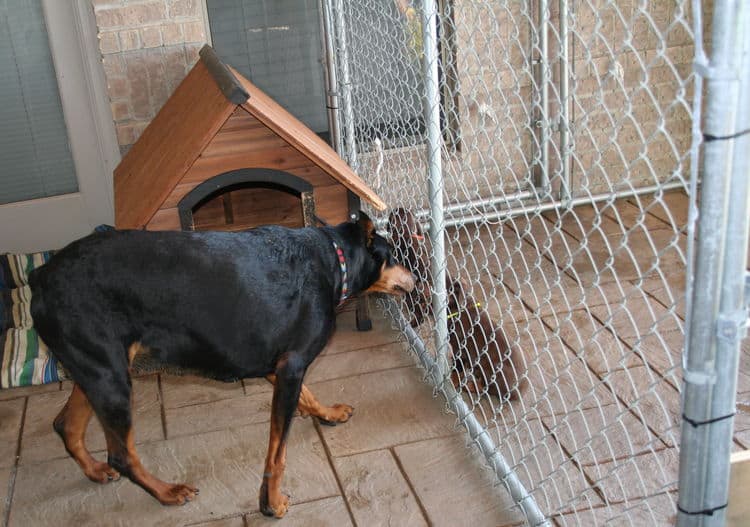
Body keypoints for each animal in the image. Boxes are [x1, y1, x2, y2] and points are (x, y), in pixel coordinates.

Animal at [29, 216, 414, 520]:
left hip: (95, 368)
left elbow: (308, 395)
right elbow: (277, 452)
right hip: (110, 377)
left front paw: (329, 413)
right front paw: (272, 503)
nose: (414, 279)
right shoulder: (291, 365)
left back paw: (95, 471)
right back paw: (167, 492)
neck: (334, 263)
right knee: (121, 455)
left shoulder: (279, 365)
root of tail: (40, 278)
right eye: (393, 254)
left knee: (67, 424)